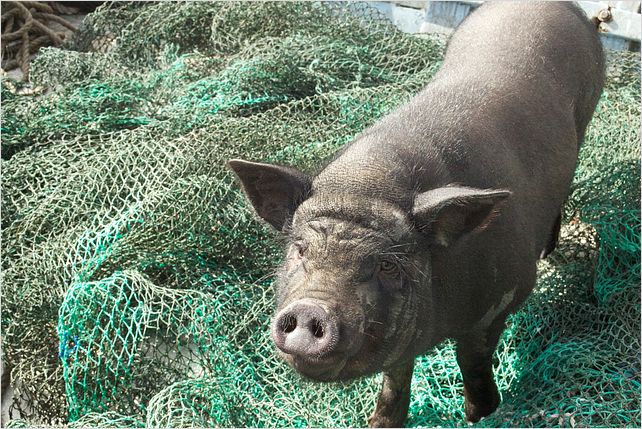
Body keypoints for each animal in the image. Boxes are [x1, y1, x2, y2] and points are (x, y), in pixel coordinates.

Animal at [228, 2, 604, 426]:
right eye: (300, 249)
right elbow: (396, 376)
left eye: (387, 266)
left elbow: (472, 360)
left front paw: (481, 415)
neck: (365, 186)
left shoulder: (504, 296)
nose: (310, 310)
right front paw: (379, 422)